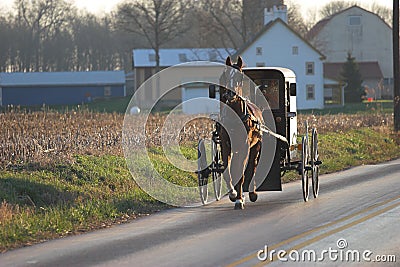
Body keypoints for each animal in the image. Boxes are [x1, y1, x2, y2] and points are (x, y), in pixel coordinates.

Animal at [217, 56, 264, 210]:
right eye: (226, 75)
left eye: (240, 77)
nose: (230, 94)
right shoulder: (226, 145)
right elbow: (227, 171)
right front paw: (233, 194)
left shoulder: (245, 146)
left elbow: (241, 173)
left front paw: (239, 199)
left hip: (256, 146)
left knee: (253, 167)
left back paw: (252, 193)